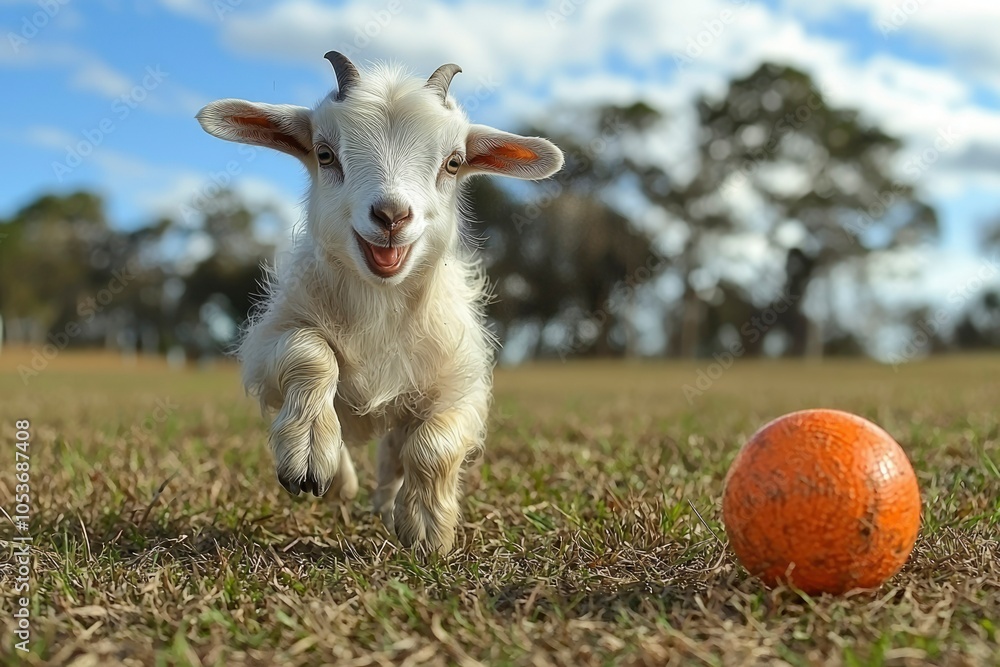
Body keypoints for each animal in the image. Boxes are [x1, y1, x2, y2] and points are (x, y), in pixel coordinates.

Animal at [196, 52, 563, 553]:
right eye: (325, 153)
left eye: (453, 163)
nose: (391, 216)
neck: (380, 307)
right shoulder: (266, 346)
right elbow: (311, 352)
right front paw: (309, 457)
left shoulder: (462, 386)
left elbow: (435, 444)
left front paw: (427, 528)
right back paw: (337, 478)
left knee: (394, 455)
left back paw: (388, 505)